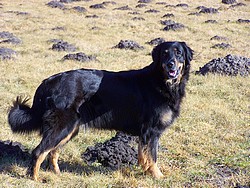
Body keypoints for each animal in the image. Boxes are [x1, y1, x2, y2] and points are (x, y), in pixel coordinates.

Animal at [7, 41, 193, 181]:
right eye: (165, 54)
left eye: (178, 53)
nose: (171, 64)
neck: (161, 81)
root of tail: (47, 82)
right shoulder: (151, 131)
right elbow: (152, 156)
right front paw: (157, 176)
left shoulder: (145, 133)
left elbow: (143, 156)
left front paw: (146, 172)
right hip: (62, 126)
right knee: (39, 152)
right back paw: (35, 178)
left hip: (70, 129)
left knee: (53, 151)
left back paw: (58, 174)